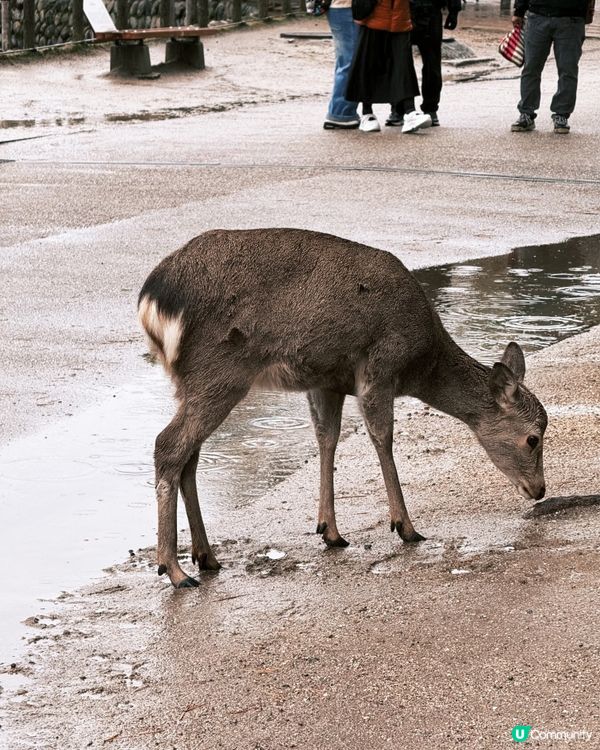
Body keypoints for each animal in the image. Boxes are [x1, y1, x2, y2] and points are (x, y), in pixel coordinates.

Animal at [138, 228, 548, 588]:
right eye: (533, 438)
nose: (539, 489)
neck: (422, 362)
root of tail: (152, 300)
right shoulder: (378, 368)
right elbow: (382, 437)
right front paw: (406, 526)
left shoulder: (326, 381)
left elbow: (327, 439)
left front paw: (329, 531)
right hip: (220, 370)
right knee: (168, 445)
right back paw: (175, 569)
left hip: (190, 381)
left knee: (189, 456)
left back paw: (206, 556)